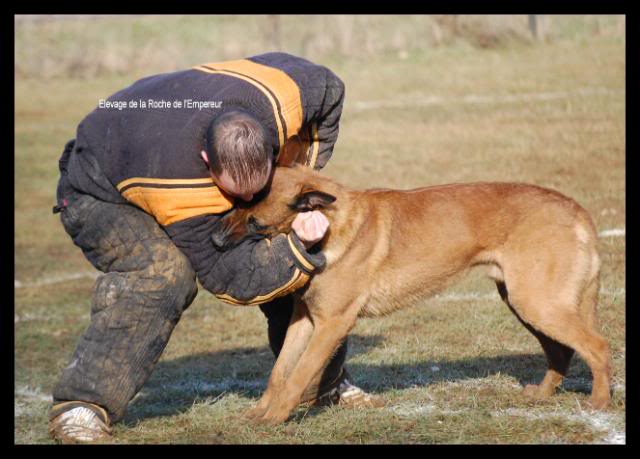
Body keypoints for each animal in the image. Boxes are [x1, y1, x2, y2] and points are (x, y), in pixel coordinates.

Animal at [214, 164, 608, 424]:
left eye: (256, 223)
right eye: (235, 205)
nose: (215, 240)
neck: (328, 226)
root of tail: (578, 211)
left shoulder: (331, 325)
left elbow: (298, 374)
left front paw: (274, 419)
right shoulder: (304, 321)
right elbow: (279, 371)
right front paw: (260, 411)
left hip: (537, 304)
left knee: (596, 346)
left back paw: (599, 403)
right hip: (525, 303)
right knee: (561, 351)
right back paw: (542, 394)